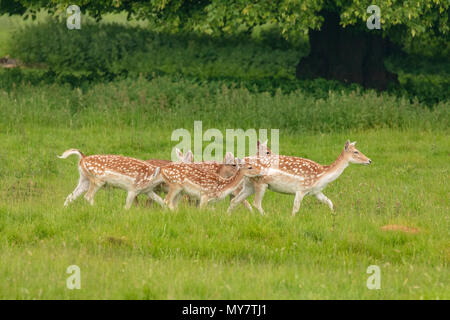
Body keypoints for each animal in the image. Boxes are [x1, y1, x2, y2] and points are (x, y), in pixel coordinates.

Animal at [230, 140, 370, 215]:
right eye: (356, 151)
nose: (369, 160)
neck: (322, 175)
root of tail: (242, 161)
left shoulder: (316, 192)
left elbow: (329, 202)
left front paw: (333, 215)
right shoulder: (301, 188)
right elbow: (296, 208)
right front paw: (291, 220)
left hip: (249, 184)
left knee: (235, 200)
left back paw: (228, 216)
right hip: (260, 183)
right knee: (256, 203)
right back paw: (266, 216)